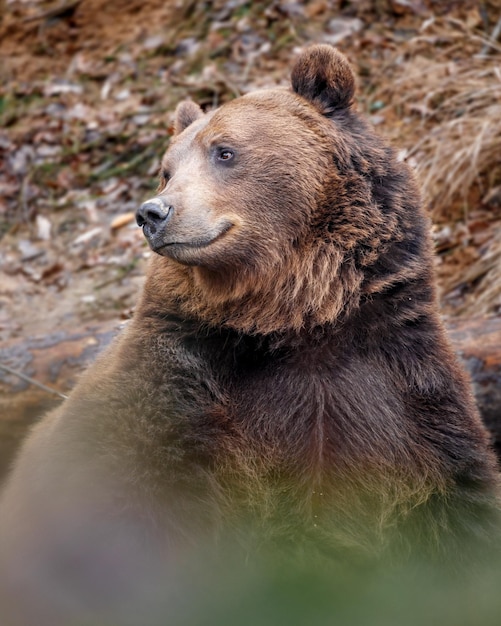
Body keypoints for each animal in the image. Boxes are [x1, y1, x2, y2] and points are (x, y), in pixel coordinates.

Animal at [0, 45, 500, 624]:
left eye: (225, 151)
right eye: (167, 169)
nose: (153, 212)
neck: (296, 322)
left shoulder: (399, 384)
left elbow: (454, 502)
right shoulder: (176, 398)